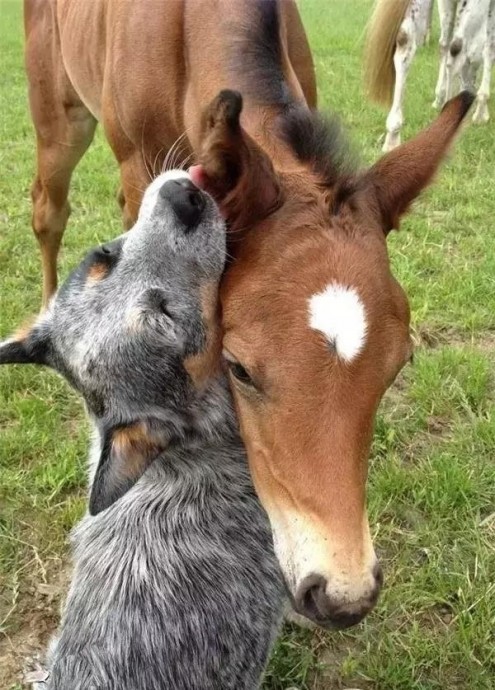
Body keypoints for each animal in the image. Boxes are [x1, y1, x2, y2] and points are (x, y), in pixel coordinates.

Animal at [23, 0, 472, 628]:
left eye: (399, 364)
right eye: (238, 368)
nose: (341, 596)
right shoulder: (139, 173)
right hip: (59, 119)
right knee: (48, 210)